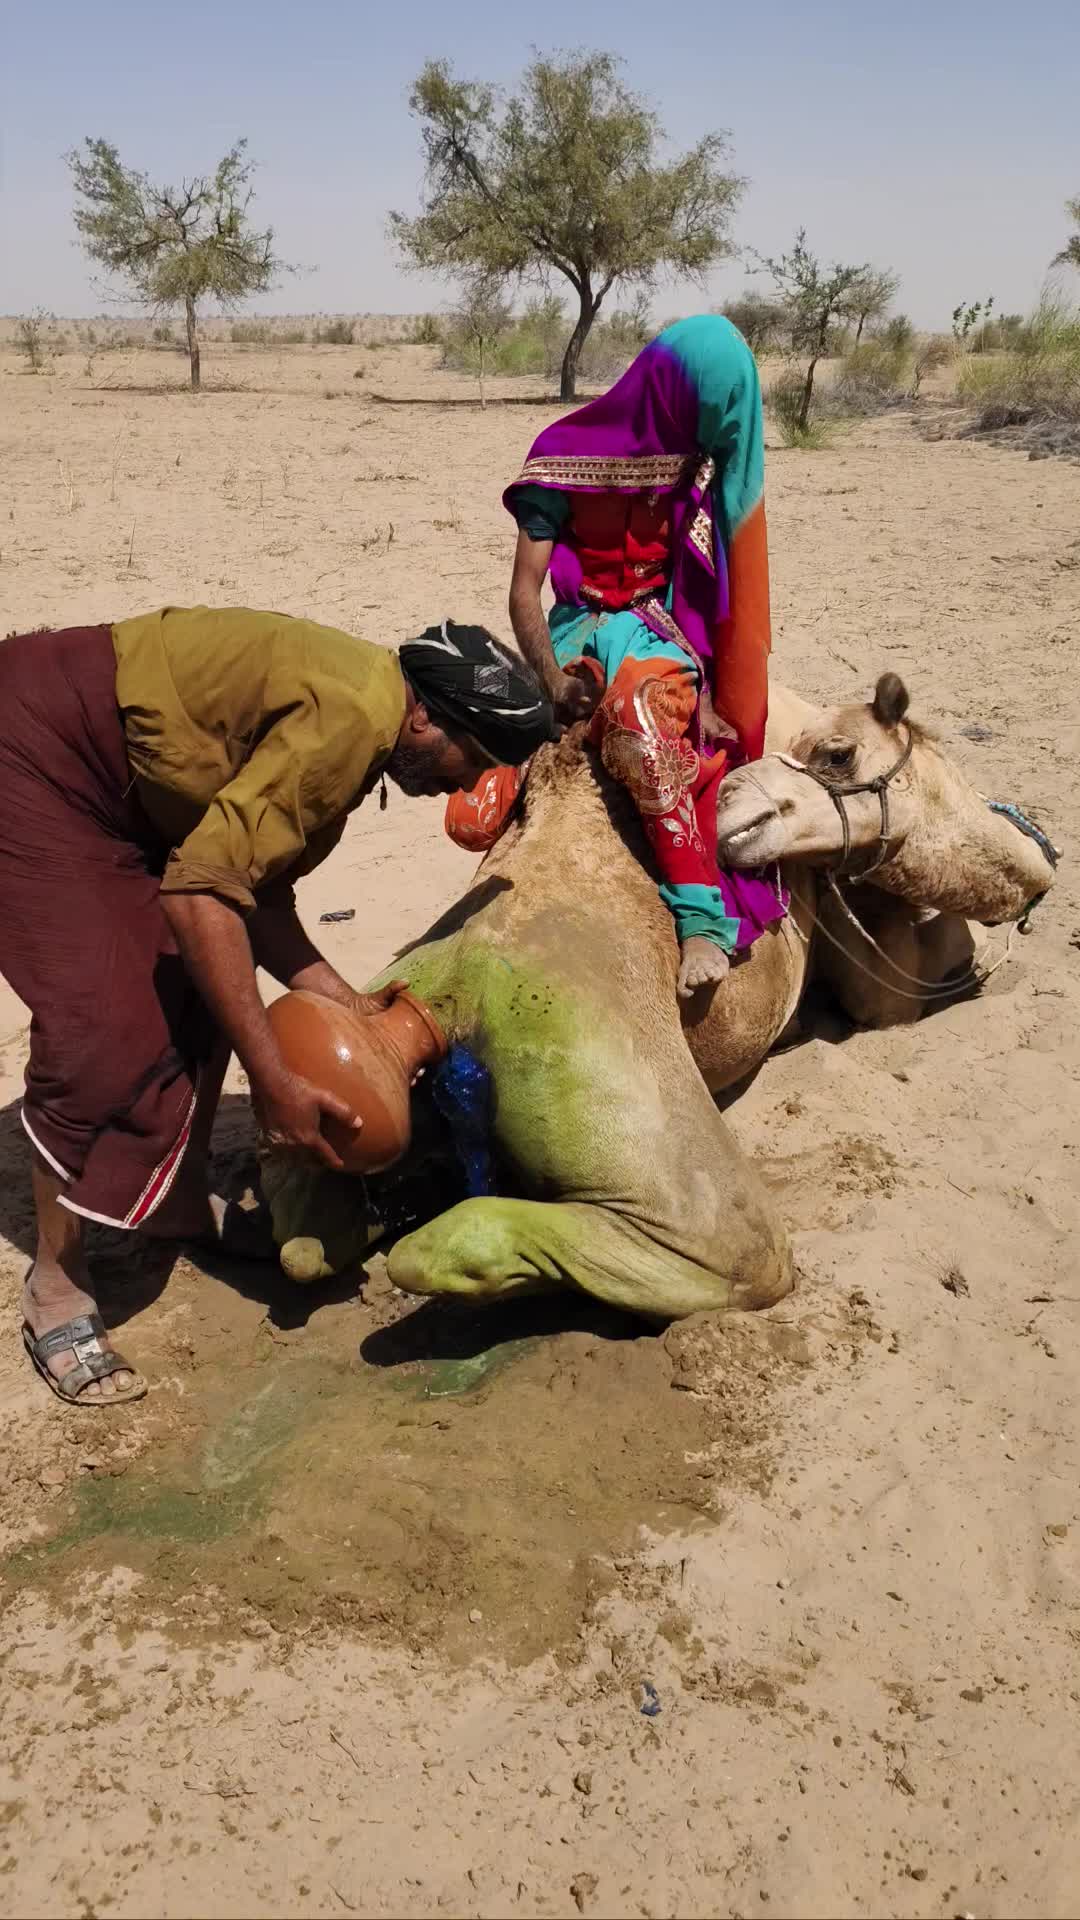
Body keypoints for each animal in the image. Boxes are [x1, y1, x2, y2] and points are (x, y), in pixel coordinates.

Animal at [264, 673, 1057, 1321]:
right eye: (838, 753)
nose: (733, 812)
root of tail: (441, 1006)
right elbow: (886, 998)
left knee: (303, 1241)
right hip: (594, 1070)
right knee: (732, 1247)